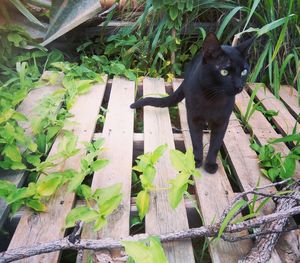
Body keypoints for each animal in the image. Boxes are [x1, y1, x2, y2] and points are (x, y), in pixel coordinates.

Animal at [130, 32, 254, 173]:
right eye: (224, 72)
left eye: (244, 71)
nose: (239, 86)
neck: (212, 99)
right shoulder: (194, 118)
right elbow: (196, 141)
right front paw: (196, 161)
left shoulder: (222, 121)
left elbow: (215, 144)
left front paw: (210, 164)